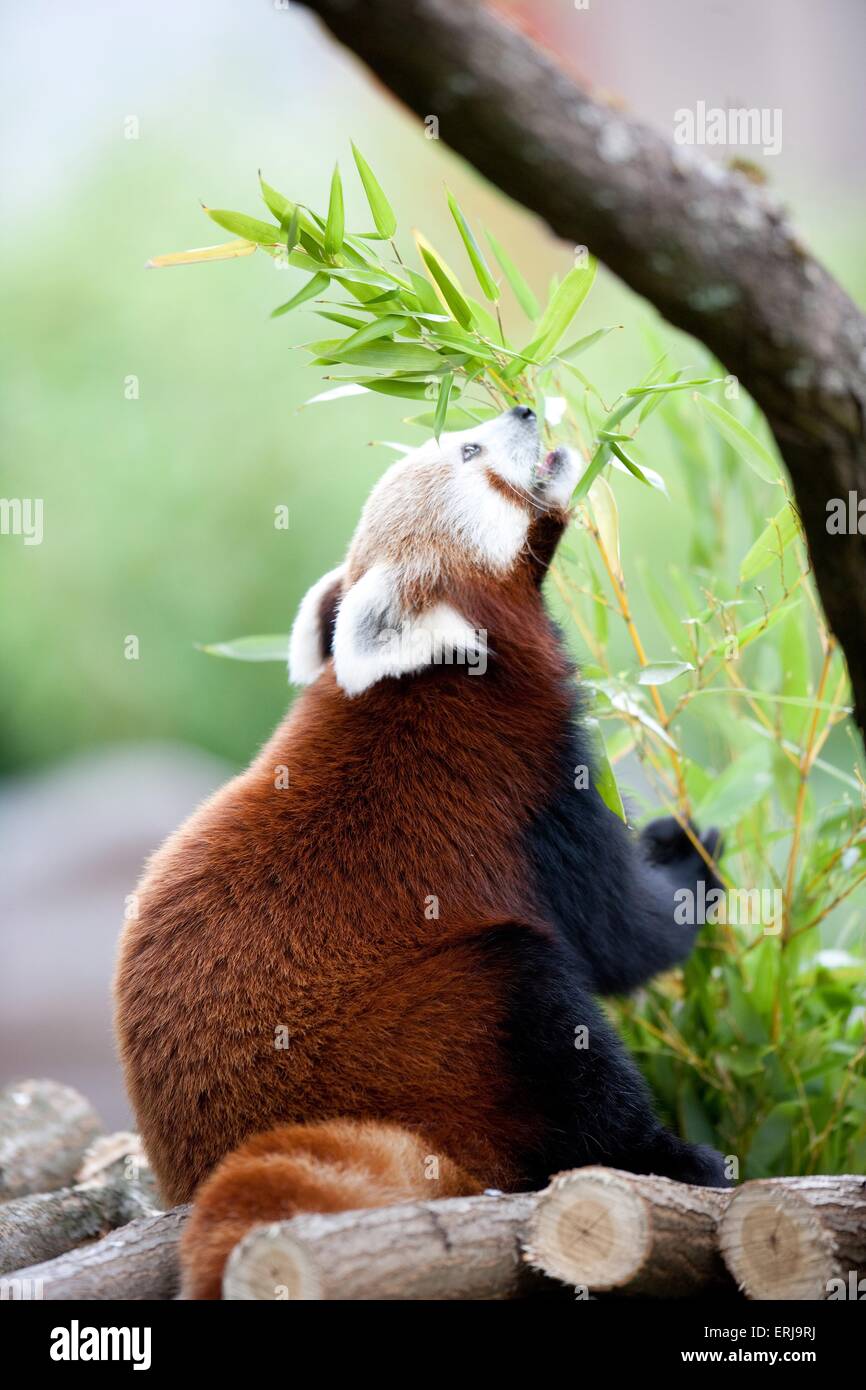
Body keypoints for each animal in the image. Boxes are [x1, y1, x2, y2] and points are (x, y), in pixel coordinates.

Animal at [113, 405, 722, 1295]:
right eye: (470, 451)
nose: (522, 410)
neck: (447, 662)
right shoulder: (529, 784)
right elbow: (620, 935)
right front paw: (691, 862)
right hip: (435, 1028)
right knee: (544, 1008)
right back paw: (672, 1160)